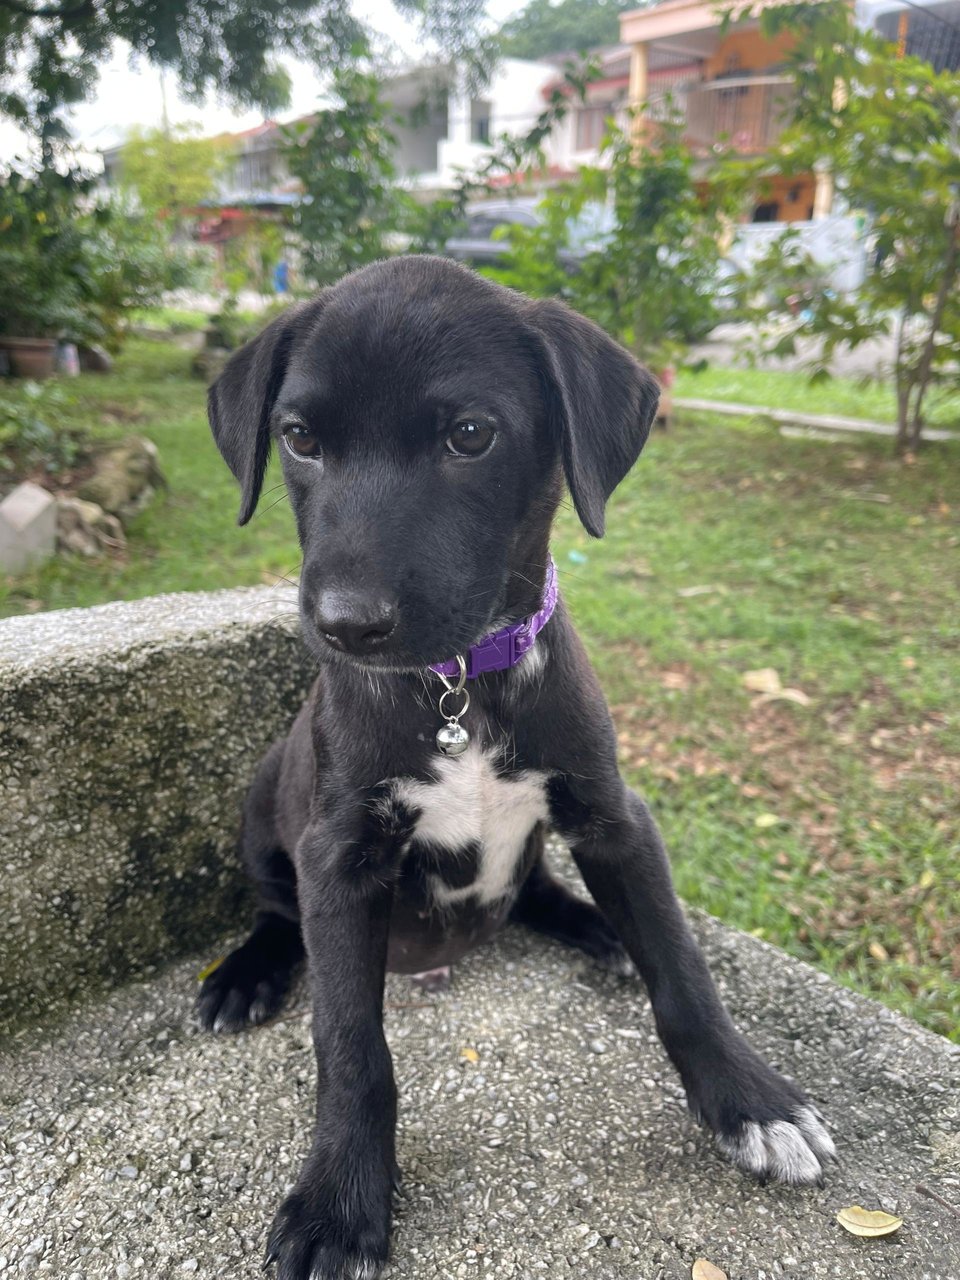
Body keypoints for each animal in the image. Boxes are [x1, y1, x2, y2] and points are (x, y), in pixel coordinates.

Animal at [200, 257, 834, 1280]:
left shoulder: (616, 817)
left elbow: (682, 969)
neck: (461, 688)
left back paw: (595, 926)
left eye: (471, 435)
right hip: (265, 801)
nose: (346, 626)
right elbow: (349, 1042)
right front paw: (340, 1201)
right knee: (275, 910)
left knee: (538, 889)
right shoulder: (337, 855)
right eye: (298, 439)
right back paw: (244, 975)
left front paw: (752, 1101)